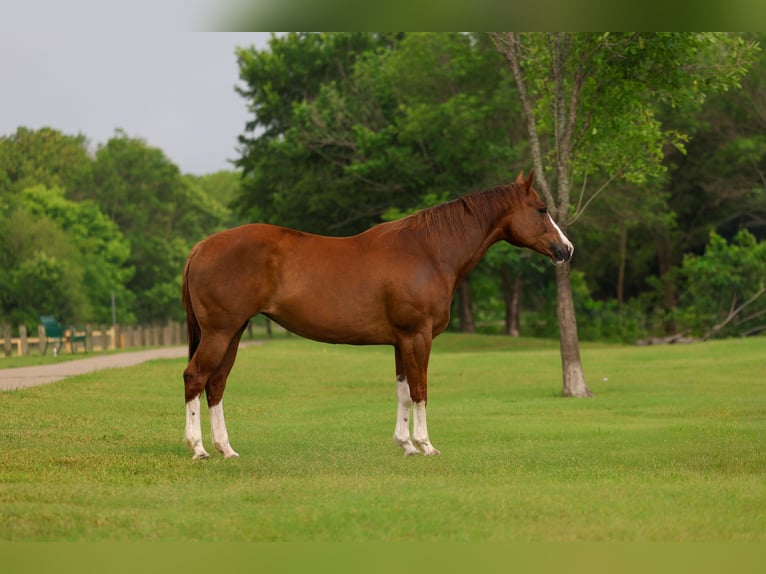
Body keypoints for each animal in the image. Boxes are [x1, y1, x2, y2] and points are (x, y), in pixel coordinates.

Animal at [182, 170, 573, 459]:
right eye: (541, 209)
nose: (566, 249)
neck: (428, 252)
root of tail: (201, 246)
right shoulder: (418, 336)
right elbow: (420, 388)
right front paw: (427, 445)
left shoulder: (401, 340)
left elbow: (403, 391)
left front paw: (406, 445)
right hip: (219, 333)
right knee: (195, 377)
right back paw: (198, 448)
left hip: (233, 333)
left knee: (216, 383)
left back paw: (226, 449)